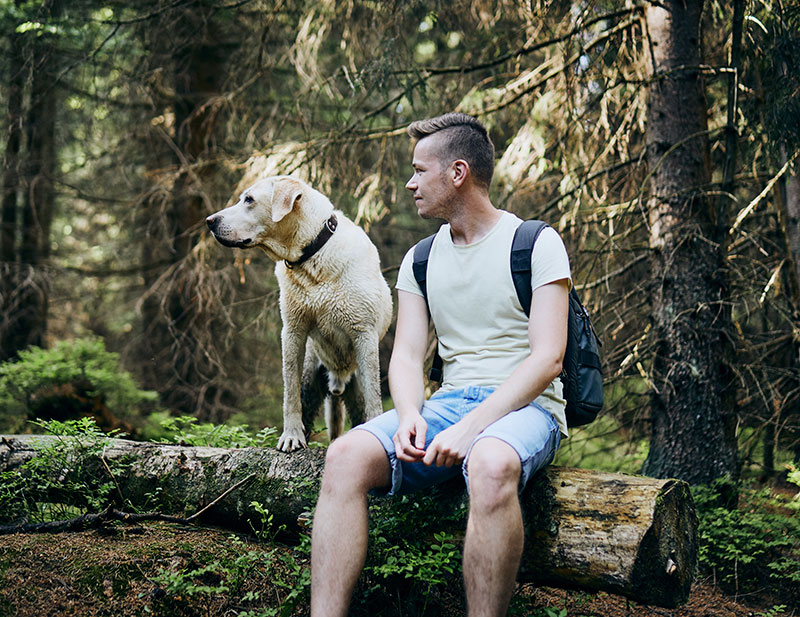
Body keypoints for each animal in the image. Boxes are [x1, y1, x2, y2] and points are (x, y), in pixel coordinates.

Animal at [206, 176, 394, 450]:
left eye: (249, 200)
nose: (209, 221)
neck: (312, 257)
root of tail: (337, 380)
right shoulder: (293, 332)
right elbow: (290, 394)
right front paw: (291, 436)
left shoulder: (364, 336)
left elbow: (375, 400)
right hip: (311, 374)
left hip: (355, 381)